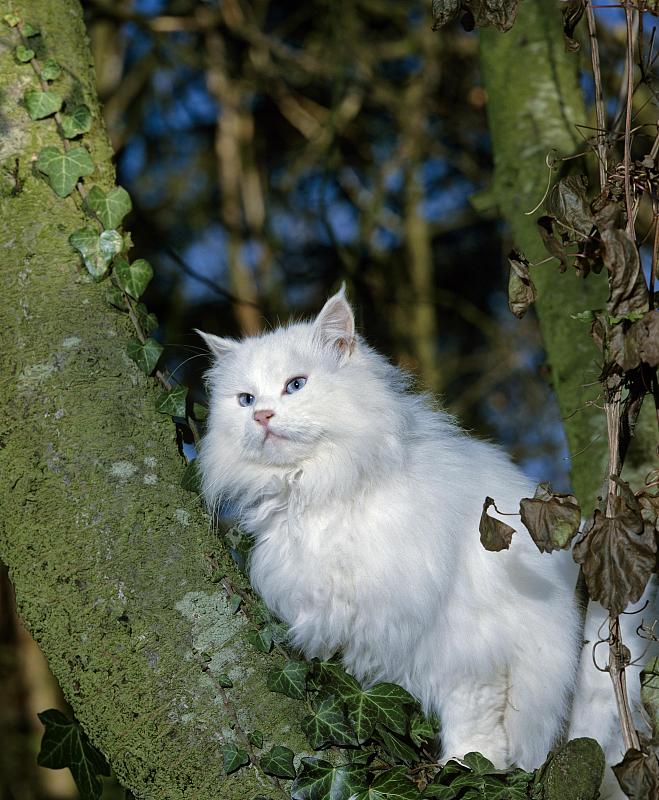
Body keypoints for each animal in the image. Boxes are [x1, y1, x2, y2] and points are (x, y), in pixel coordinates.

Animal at [197, 290, 648, 776]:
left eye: (295, 386)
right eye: (245, 399)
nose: (262, 415)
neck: (319, 492)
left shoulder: (466, 648)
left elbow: (474, 720)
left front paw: (467, 765)